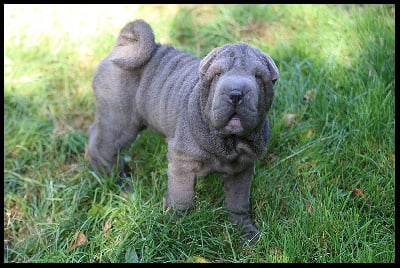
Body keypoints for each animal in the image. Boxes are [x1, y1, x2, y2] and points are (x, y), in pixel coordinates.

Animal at [88, 19, 278, 244]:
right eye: (217, 75)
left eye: (258, 77)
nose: (236, 94)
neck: (228, 141)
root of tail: (124, 45)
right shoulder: (183, 163)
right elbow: (182, 197)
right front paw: (177, 227)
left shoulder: (242, 169)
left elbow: (238, 202)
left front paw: (245, 232)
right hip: (120, 120)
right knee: (104, 148)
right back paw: (118, 183)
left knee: (96, 134)